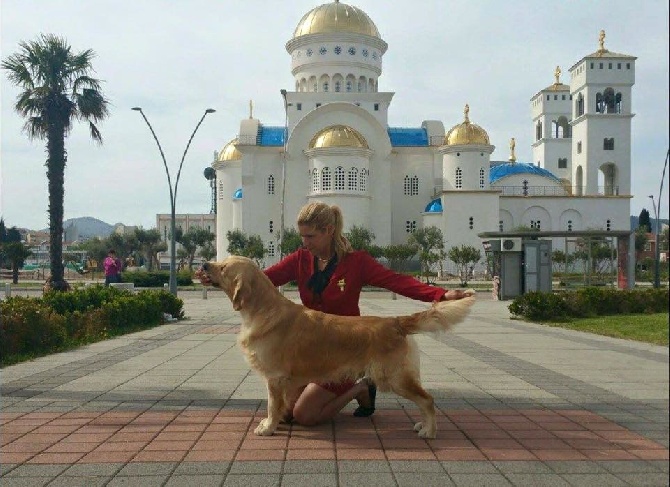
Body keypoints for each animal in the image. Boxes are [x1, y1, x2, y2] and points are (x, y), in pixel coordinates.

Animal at [201, 258, 478, 440]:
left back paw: (429, 431)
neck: (261, 310)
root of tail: (395, 321)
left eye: (223, 267)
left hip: (395, 377)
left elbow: (272, 405)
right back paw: (420, 425)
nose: (203, 265)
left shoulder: (275, 377)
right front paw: (275, 424)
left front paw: (268, 428)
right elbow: (280, 406)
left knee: (427, 399)